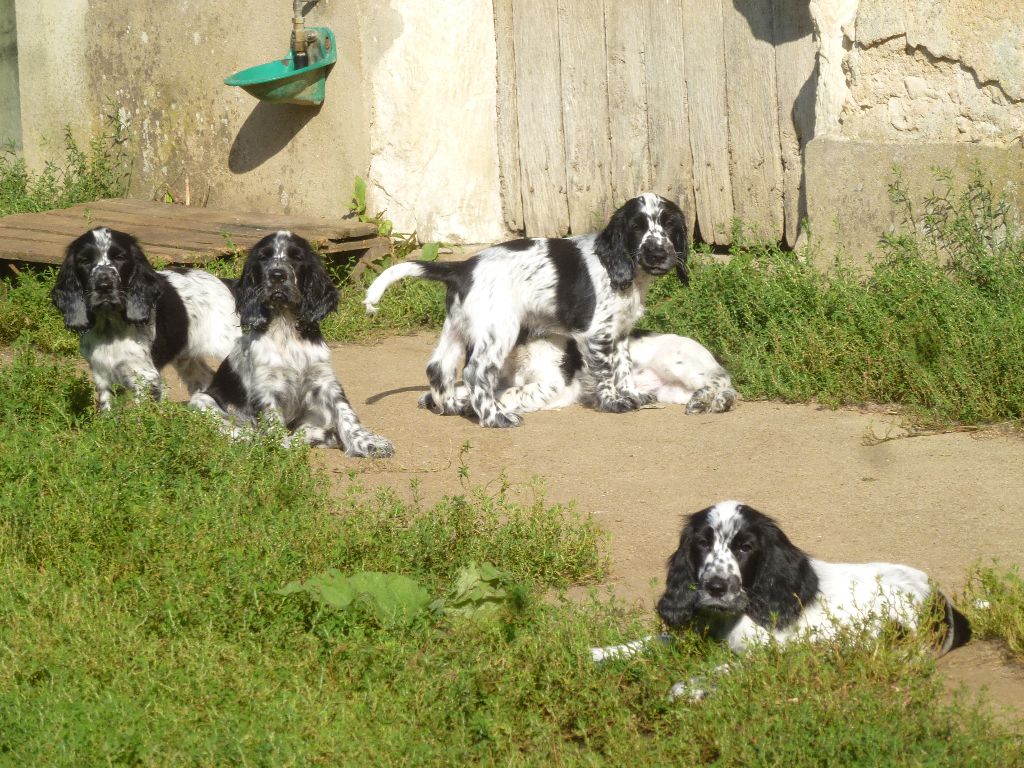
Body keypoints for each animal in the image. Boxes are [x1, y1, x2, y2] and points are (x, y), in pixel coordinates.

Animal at [50, 225, 240, 411]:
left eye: (120, 258)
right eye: (85, 261)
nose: (104, 286)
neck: (110, 326)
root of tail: (225, 283)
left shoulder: (145, 377)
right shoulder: (102, 375)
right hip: (186, 356)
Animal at [190, 231, 393, 460]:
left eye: (296, 258)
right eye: (264, 258)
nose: (277, 275)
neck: (285, 326)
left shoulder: (324, 380)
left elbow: (346, 412)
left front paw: (368, 443)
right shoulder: (266, 388)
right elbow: (273, 427)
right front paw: (280, 447)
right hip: (201, 400)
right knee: (234, 430)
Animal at [364, 192, 692, 430]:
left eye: (669, 225)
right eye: (636, 228)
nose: (658, 253)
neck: (623, 271)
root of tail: (462, 267)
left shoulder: (619, 332)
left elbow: (622, 367)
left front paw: (631, 395)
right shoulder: (596, 333)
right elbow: (606, 371)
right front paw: (613, 401)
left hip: (459, 326)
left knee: (438, 367)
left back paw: (453, 407)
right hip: (498, 329)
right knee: (475, 373)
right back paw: (494, 417)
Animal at [423, 329, 737, 417]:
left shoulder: (554, 384)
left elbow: (513, 392)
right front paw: (436, 397)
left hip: (675, 361)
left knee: (723, 381)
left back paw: (710, 401)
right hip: (670, 391)